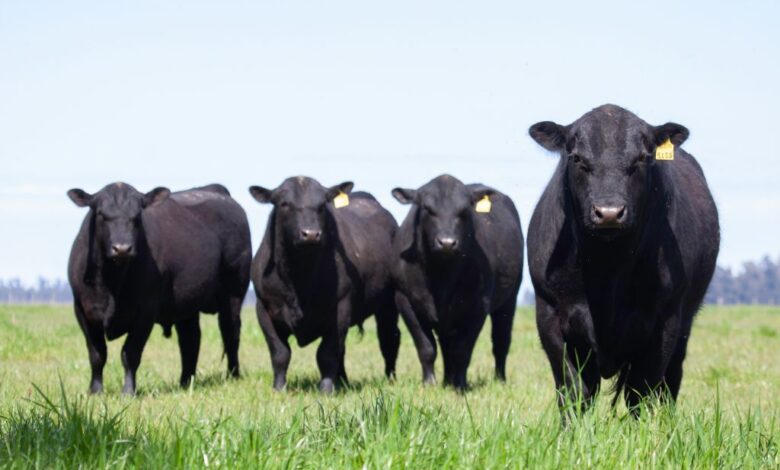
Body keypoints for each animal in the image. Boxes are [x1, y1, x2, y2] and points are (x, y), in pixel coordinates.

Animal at [67, 182, 252, 395]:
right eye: (101, 214)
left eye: (137, 216)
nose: (122, 248)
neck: (111, 283)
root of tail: (216, 190)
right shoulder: (82, 309)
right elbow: (97, 354)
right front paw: (95, 391)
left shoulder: (146, 311)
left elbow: (130, 353)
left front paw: (128, 391)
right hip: (187, 303)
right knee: (190, 340)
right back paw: (185, 381)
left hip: (234, 292)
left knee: (230, 332)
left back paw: (233, 375)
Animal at [249, 176, 400, 394]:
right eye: (285, 204)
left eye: (322, 205)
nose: (311, 234)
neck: (299, 276)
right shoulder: (264, 308)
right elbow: (280, 353)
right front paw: (278, 388)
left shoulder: (340, 308)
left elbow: (327, 353)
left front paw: (326, 390)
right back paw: (343, 381)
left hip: (389, 303)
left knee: (389, 339)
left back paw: (390, 379)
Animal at [391, 174, 524, 391]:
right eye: (428, 208)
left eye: (464, 210)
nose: (447, 242)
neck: (441, 277)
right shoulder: (404, 300)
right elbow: (426, 347)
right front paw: (429, 383)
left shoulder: (478, 307)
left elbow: (463, 351)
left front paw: (460, 386)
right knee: (446, 346)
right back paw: (447, 379)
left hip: (509, 299)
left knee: (501, 341)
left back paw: (499, 380)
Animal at [527, 104, 720, 415]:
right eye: (577, 158)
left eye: (642, 158)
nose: (609, 213)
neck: (607, 266)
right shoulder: (549, 314)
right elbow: (573, 390)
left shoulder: (664, 320)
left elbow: (640, 392)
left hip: (685, 324)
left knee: (670, 381)